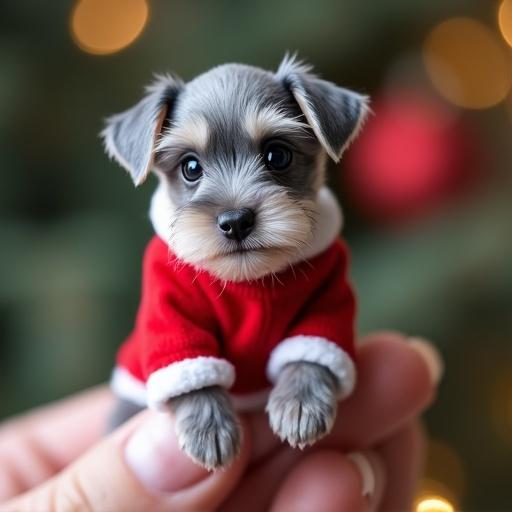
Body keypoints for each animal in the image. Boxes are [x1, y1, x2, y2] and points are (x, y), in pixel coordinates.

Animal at [103, 55, 368, 468]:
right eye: (190, 167)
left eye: (278, 155)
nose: (236, 221)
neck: (250, 281)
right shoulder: (170, 310)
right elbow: (189, 366)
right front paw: (208, 426)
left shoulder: (328, 298)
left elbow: (312, 351)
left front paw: (301, 402)